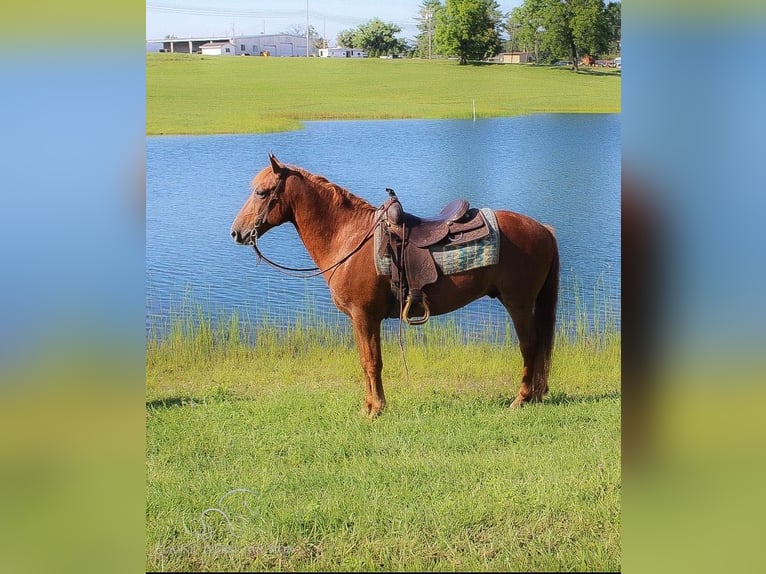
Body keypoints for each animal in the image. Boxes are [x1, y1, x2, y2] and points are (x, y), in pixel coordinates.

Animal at [231, 153, 560, 418]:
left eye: (261, 192)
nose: (237, 232)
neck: (349, 238)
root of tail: (543, 229)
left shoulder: (365, 316)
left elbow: (372, 362)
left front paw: (375, 409)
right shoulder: (360, 319)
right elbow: (366, 361)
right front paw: (368, 406)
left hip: (518, 303)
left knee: (530, 345)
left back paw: (521, 399)